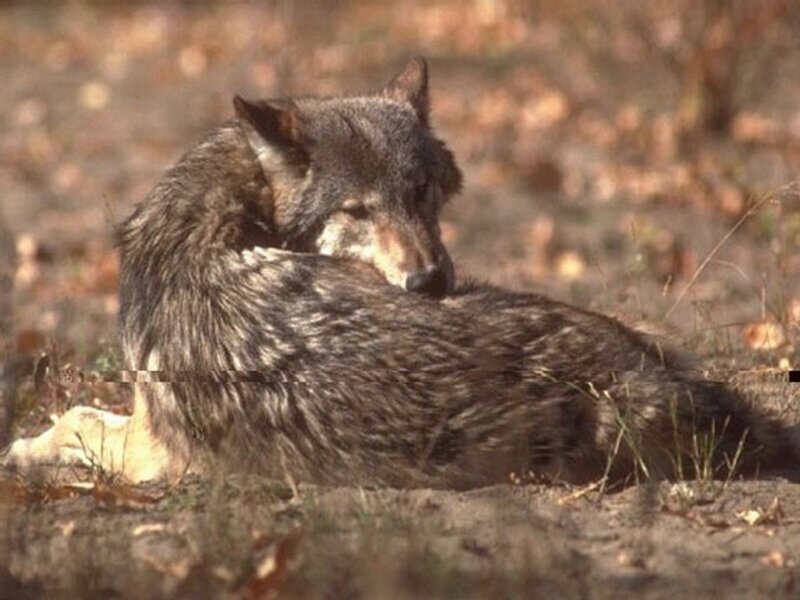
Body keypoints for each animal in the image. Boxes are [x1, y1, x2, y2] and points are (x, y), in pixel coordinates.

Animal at [4, 59, 798, 488]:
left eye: (420, 193)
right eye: (356, 210)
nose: (430, 284)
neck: (224, 213)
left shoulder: (155, 445)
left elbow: (74, 416)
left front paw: (22, 448)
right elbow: (77, 415)